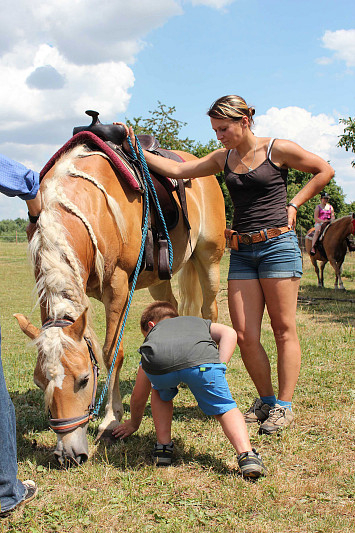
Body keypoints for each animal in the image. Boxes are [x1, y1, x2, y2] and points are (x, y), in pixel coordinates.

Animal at [14, 141, 225, 466]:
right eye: (39, 382)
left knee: (209, 310)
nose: (69, 455)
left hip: (209, 260)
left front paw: (110, 418)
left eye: (84, 380)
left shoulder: (118, 287)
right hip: (160, 278)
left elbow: (111, 352)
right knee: (172, 307)